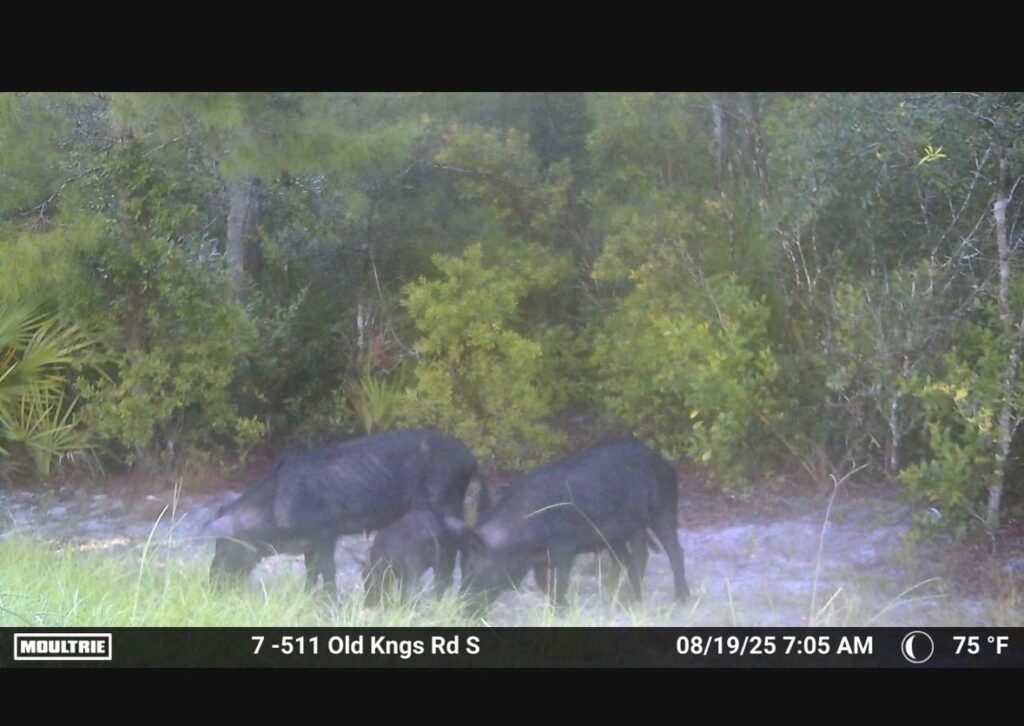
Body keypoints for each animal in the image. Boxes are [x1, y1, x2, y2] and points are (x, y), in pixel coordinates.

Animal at [201, 428, 477, 597]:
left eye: (223, 546)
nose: (211, 583)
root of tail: (470, 459)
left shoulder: (326, 533)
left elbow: (327, 570)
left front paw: (328, 601)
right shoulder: (309, 543)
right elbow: (311, 571)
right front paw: (306, 597)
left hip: (447, 505)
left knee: (454, 549)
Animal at [454, 441, 689, 609]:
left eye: (474, 569)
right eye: (463, 568)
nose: (462, 608)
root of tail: (664, 463)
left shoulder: (565, 546)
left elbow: (559, 580)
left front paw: (560, 610)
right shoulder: (542, 558)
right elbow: (543, 582)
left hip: (664, 509)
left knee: (674, 550)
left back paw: (680, 599)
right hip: (625, 531)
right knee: (637, 556)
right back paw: (623, 596)